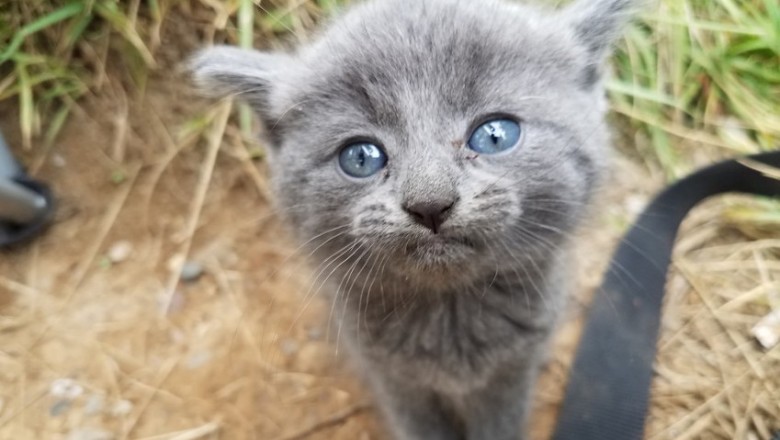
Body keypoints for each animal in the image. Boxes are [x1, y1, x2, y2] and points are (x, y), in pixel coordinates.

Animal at [192, 1, 636, 438]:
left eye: (495, 135)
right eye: (360, 157)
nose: (430, 203)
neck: (450, 316)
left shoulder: (512, 372)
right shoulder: (394, 379)